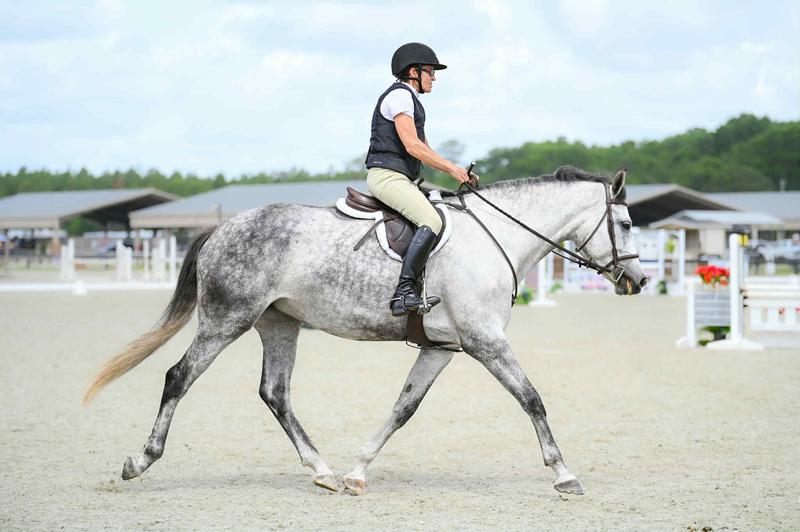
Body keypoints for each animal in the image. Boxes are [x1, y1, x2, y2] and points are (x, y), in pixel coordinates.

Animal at [83, 165, 647, 496]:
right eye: (625, 224)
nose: (638, 282)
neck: (497, 237)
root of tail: (223, 226)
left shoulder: (443, 348)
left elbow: (403, 408)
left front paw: (358, 470)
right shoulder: (485, 340)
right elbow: (532, 399)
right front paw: (564, 474)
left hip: (278, 323)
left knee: (275, 393)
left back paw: (323, 471)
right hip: (228, 319)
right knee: (179, 377)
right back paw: (140, 461)